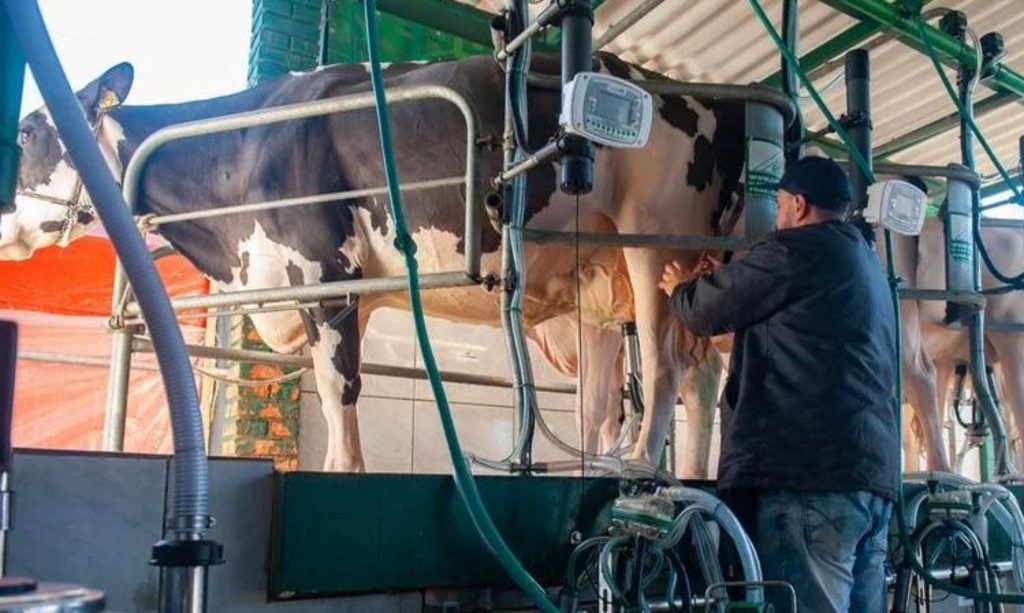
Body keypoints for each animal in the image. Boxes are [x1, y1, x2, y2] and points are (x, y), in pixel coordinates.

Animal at [4, 53, 749, 474]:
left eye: (26, 131)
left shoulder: (323, 268)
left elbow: (340, 406)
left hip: (654, 240)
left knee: (666, 365)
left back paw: (644, 465)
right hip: (605, 280)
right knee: (676, 380)